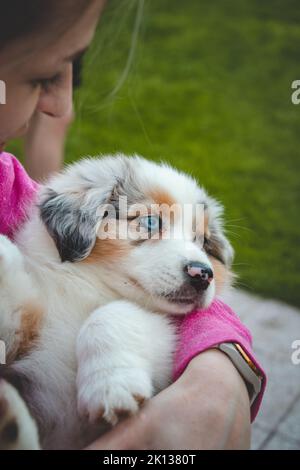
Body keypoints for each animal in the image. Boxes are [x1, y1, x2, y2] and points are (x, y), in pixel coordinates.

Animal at [0, 154, 233, 448]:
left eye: (202, 241)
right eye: (150, 222)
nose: (203, 274)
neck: (91, 287)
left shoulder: (162, 337)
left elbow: (114, 312)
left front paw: (112, 387)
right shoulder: (25, 330)